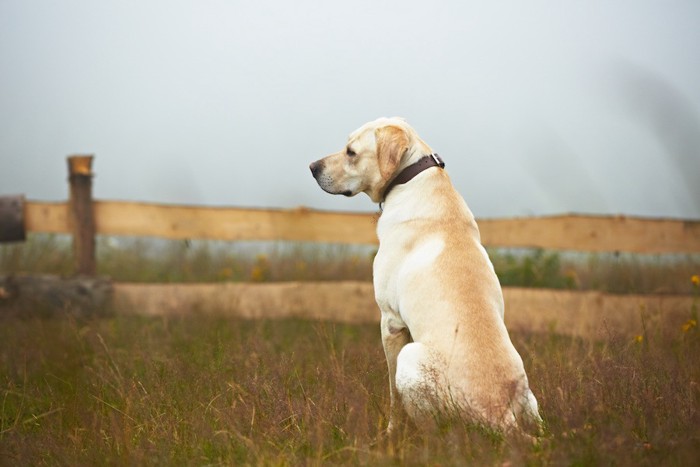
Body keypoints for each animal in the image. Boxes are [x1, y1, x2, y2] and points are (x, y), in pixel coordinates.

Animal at [308, 118, 544, 436]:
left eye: (351, 152)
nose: (312, 167)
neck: (411, 178)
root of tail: (502, 417)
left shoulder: (391, 321)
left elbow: (393, 395)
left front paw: (390, 432)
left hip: (411, 357)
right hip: (529, 397)